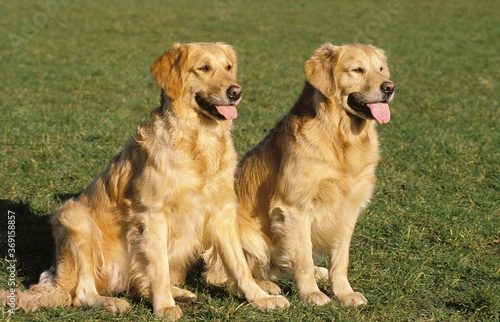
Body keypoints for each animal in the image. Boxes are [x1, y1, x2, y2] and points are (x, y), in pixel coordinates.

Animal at [2, 42, 290, 320]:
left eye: (228, 67)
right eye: (204, 68)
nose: (235, 91)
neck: (199, 141)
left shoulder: (222, 212)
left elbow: (239, 265)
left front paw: (261, 298)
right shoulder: (153, 215)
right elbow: (158, 267)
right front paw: (164, 307)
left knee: (137, 284)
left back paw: (179, 293)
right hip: (74, 218)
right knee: (81, 294)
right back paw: (112, 302)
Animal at [227, 42, 394, 306]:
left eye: (381, 69)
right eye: (357, 70)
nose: (389, 87)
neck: (340, 137)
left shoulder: (348, 209)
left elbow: (340, 260)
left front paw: (344, 293)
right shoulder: (295, 208)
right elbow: (303, 257)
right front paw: (311, 293)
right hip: (246, 232)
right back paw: (266, 286)